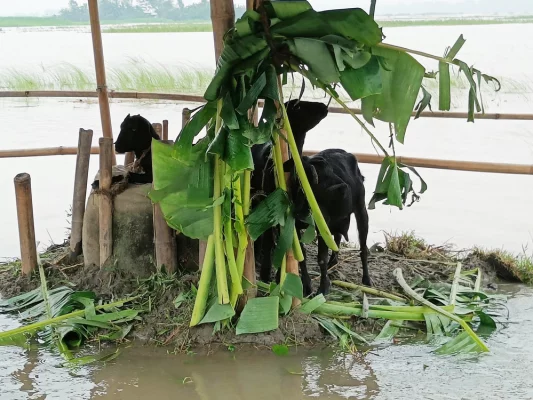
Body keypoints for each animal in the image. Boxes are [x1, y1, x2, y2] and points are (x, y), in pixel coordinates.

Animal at [250, 99, 328, 286]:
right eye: (298, 106)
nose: (323, 106)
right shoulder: (273, 206)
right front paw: (273, 276)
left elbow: (298, 248)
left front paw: (304, 283)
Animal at [282, 148, 370, 296]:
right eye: (297, 179)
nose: (344, 186)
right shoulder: (297, 225)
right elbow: (303, 255)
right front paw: (306, 285)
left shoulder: (322, 226)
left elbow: (321, 258)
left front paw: (323, 288)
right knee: (338, 236)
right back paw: (333, 262)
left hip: (361, 211)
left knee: (363, 246)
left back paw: (366, 279)